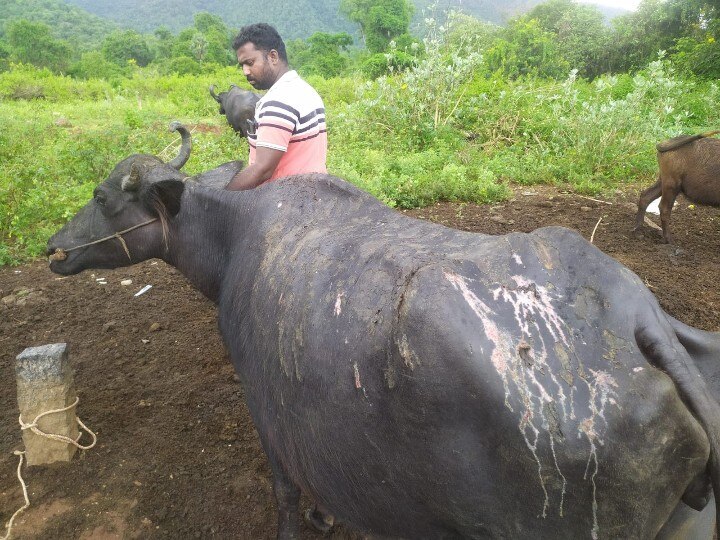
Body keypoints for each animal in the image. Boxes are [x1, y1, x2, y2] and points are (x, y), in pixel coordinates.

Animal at [49, 123, 720, 540]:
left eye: (102, 196)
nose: (54, 248)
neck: (232, 236)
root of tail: (636, 317)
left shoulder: (269, 420)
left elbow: (286, 497)